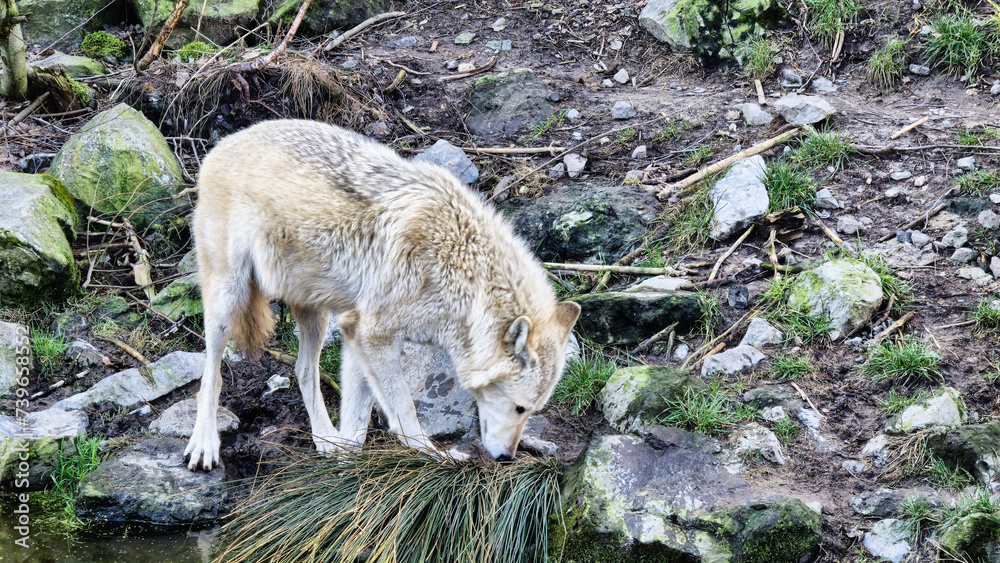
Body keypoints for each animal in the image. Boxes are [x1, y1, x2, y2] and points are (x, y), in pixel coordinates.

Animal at [184, 119, 581, 470]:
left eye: (532, 411)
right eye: (519, 408)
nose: (507, 458)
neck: (462, 273)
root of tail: (219, 146)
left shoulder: (355, 331)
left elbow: (357, 420)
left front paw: (346, 462)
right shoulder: (372, 334)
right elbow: (404, 412)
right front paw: (434, 455)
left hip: (317, 314)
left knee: (303, 370)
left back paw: (325, 439)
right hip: (228, 298)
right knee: (211, 375)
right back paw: (204, 443)